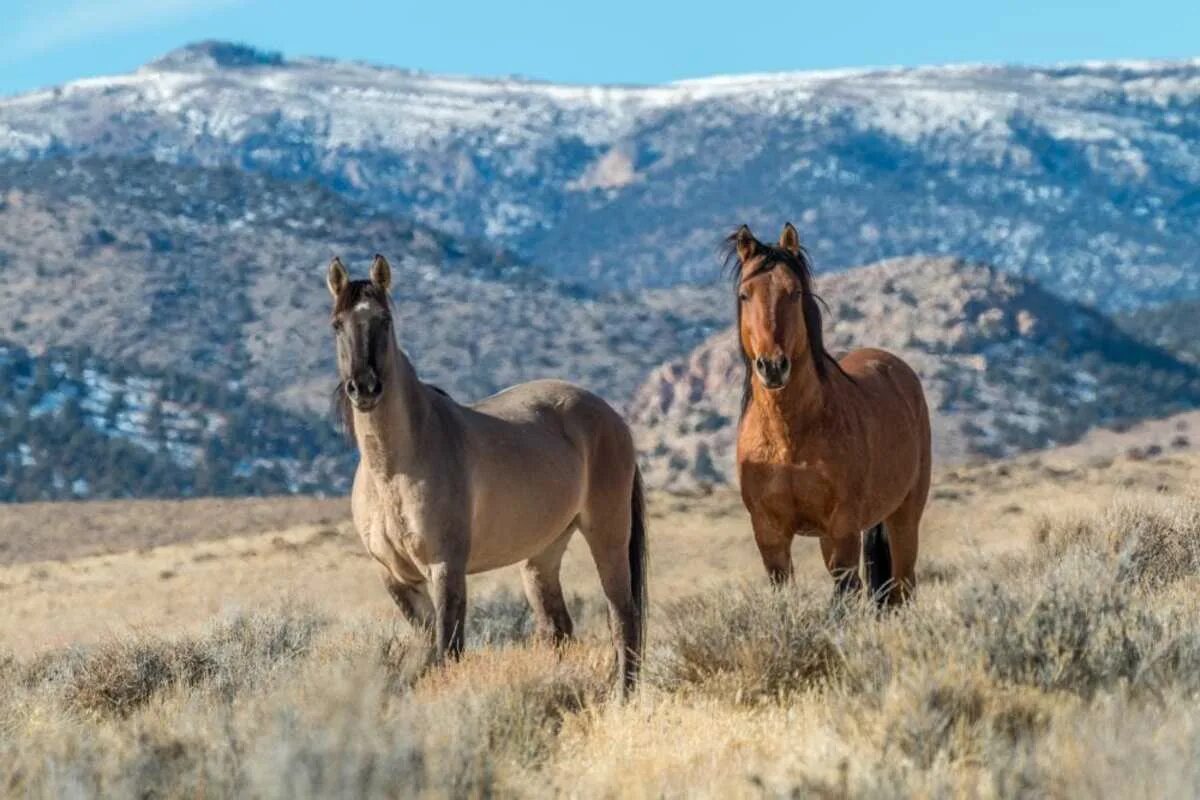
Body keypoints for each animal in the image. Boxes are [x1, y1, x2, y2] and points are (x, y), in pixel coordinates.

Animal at [326, 256, 648, 695]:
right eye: (337, 324)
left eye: (385, 320)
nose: (364, 388)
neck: (394, 469)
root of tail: (612, 417)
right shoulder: (397, 579)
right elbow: (429, 653)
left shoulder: (446, 569)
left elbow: (448, 651)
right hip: (543, 554)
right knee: (558, 628)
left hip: (607, 533)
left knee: (623, 618)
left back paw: (623, 697)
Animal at [724, 221, 931, 604]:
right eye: (745, 295)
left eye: (793, 293)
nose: (772, 367)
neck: (789, 436)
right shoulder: (770, 534)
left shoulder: (843, 528)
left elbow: (845, 594)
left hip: (904, 516)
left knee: (902, 586)